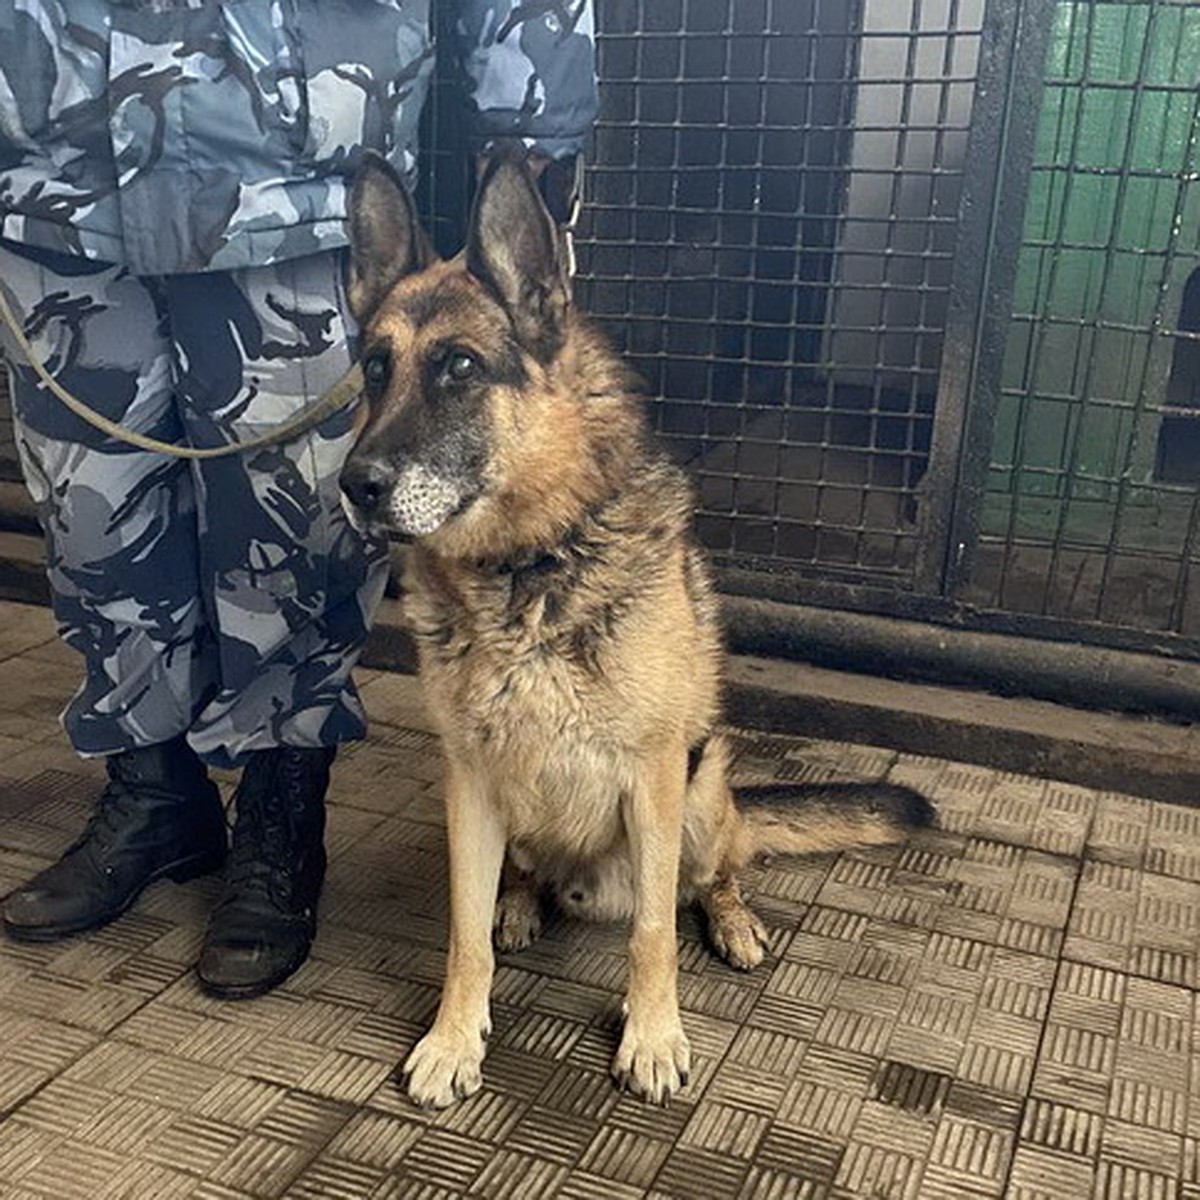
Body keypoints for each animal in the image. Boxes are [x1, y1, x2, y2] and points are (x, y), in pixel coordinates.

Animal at [340, 154, 936, 1108]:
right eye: (372, 368)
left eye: (459, 367)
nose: (355, 486)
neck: (531, 562)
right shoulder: (468, 784)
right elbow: (462, 937)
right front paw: (453, 1039)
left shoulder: (652, 778)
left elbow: (654, 930)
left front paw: (652, 1036)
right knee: (520, 882)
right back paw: (520, 904)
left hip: (701, 789)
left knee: (717, 873)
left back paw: (732, 922)